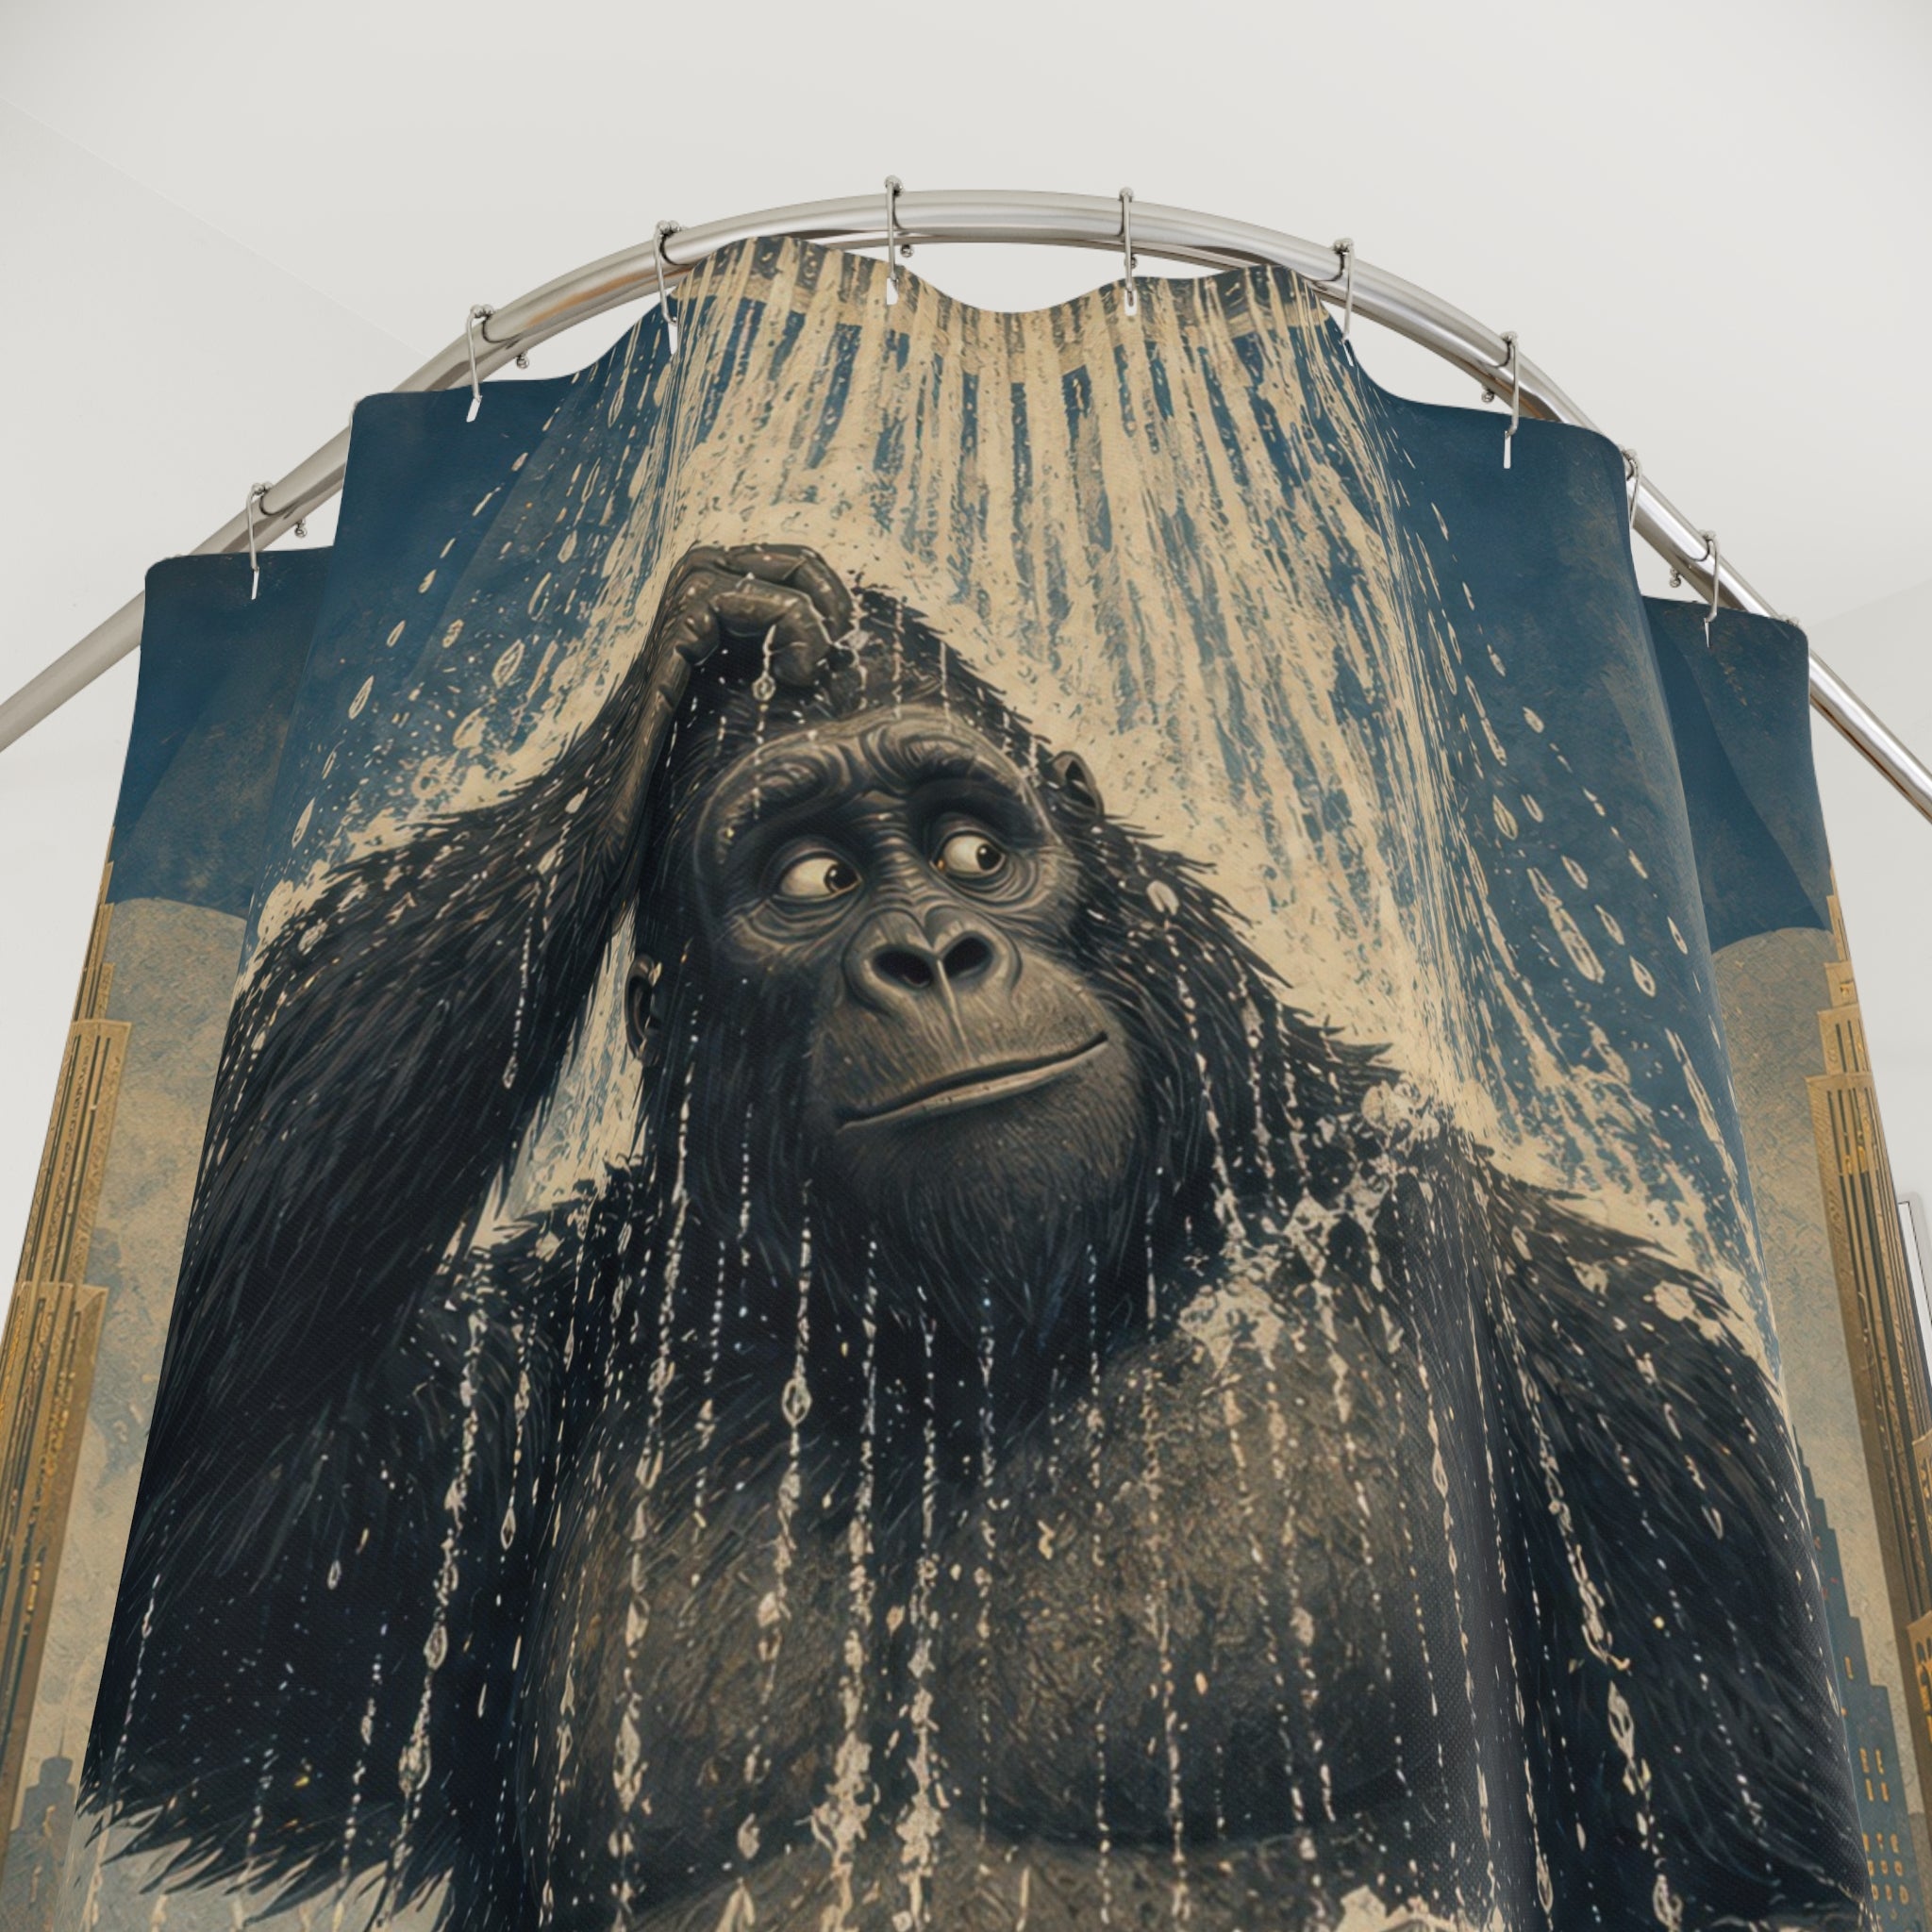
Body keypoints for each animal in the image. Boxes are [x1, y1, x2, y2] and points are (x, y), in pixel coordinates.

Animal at [90, 545, 1864, 1932]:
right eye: (809, 874)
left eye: (967, 844)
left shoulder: (1617, 1373)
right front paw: (673, 672)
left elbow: (1735, 1878)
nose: (932, 950)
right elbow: (205, 1565)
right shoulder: (532, 1362)